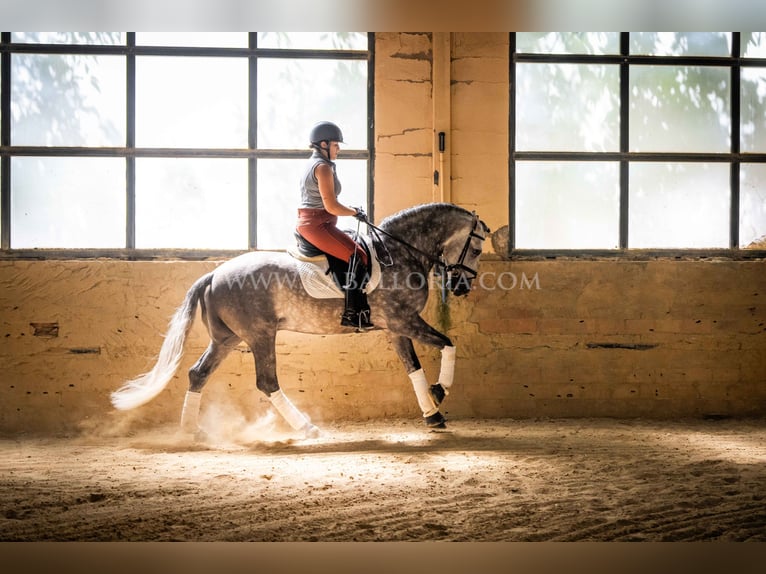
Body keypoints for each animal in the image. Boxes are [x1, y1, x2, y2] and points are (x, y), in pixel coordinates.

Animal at [111, 202, 488, 436]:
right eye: (476, 249)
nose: (462, 287)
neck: (398, 252)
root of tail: (214, 274)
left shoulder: (396, 327)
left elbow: (413, 369)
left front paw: (432, 413)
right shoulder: (403, 320)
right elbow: (448, 344)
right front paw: (440, 392)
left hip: (227, 339)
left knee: (198, 373)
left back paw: (191, 430)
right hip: (260, 335)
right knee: (267, 382)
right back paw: (306, 427)